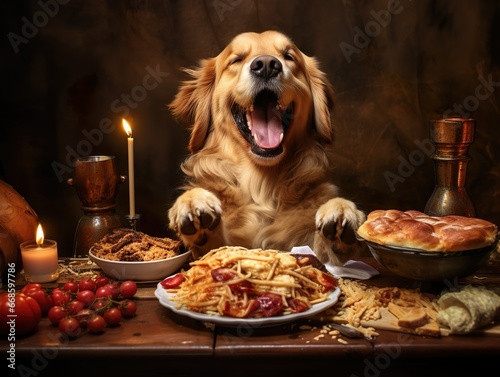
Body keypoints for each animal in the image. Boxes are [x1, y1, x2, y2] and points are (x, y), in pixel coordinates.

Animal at [166, 30, 366, 264]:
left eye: (289, 57)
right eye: (236, 60)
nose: (267, 65)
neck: (261, 185)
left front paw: (340, 214)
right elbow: (215, 248)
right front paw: (194, 207)